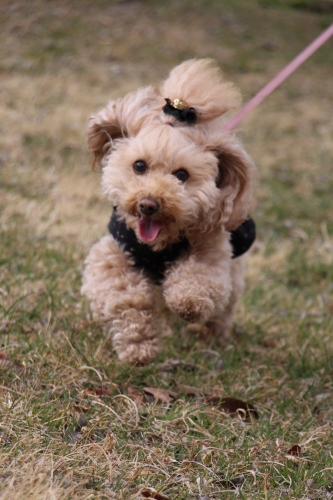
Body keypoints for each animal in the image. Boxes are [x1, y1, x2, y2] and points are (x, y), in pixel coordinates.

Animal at [81, 59, 255, 364]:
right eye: (139, 166)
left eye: (182, 174)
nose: (149, 204)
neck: (159, 246)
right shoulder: (112, 254)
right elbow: (124, 298)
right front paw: (139, 347)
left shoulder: (212, 250)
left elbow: (198, 280)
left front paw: (186, 303)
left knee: (224, 308)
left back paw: (212, 335)